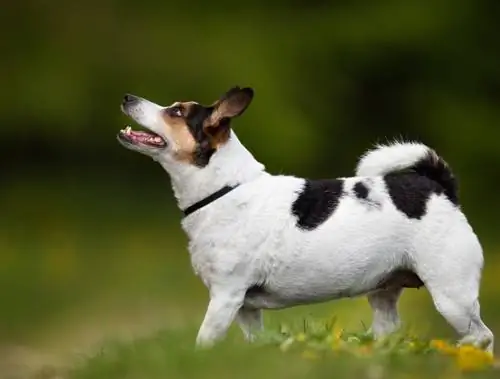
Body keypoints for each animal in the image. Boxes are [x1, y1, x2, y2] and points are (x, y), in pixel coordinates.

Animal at [116, 86, 492, 354]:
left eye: (176, 111)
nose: (127, 97)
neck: (225, 189)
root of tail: (440, 187)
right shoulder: (245, 308)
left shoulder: (225, 297)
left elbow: (203, 343)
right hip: (384, 294)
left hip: (452, 295)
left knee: (483, 337)